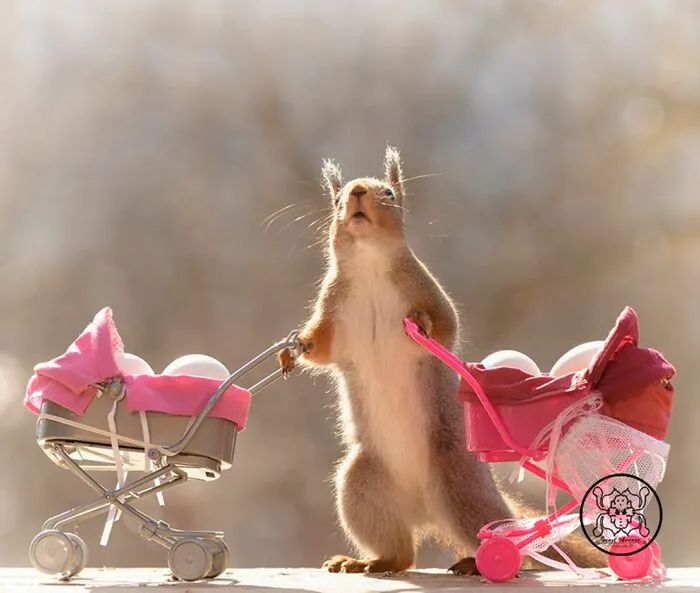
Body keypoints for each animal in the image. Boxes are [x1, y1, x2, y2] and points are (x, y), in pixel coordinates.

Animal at [278, 146, 606, 575]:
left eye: (389, 193)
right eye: (336, 201)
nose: (358, 191)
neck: (369, 265)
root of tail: (425, 511)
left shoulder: (428, 290)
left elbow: (446, 325)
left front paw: (420, 323)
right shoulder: (332, 310)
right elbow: (320, 348)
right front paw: (291, 347)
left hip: (461, 487)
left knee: (504, 541)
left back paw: (478, 563)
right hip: (362, 486)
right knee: (401, 553)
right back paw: (366, 561)